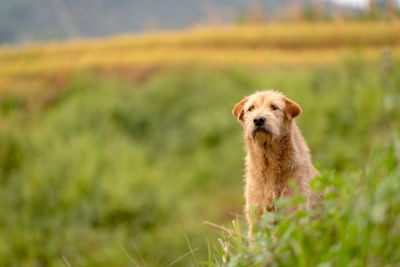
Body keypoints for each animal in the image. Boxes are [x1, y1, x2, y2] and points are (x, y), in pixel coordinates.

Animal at [231, 91, 318, 240]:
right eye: (251, 108)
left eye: (274, 107)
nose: (258, 120)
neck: (269, 163)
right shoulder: (257, 216)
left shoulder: (293, 212)